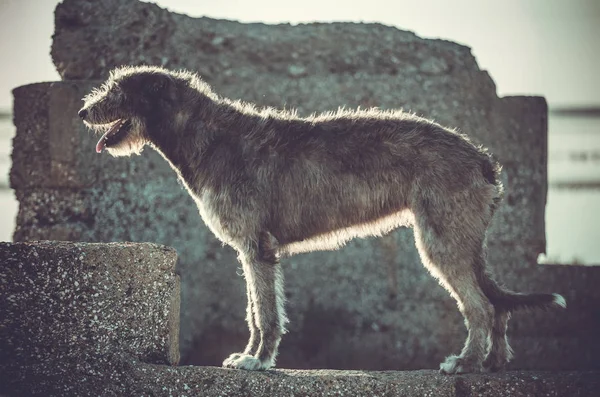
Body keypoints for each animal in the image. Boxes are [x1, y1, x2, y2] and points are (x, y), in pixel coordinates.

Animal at [81, 65, 568, 372]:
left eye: (117, 90)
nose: (84, 111)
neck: (210, 137)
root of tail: (482, 159)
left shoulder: (257, 247)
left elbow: (266, 313)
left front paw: (257, 361)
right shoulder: (254, 250)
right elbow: (257, 310)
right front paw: (249, 356)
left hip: (442, 240)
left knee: (481, 306)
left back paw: (465, 363)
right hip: (461, 239)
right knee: (496, 304)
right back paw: (494, 363)